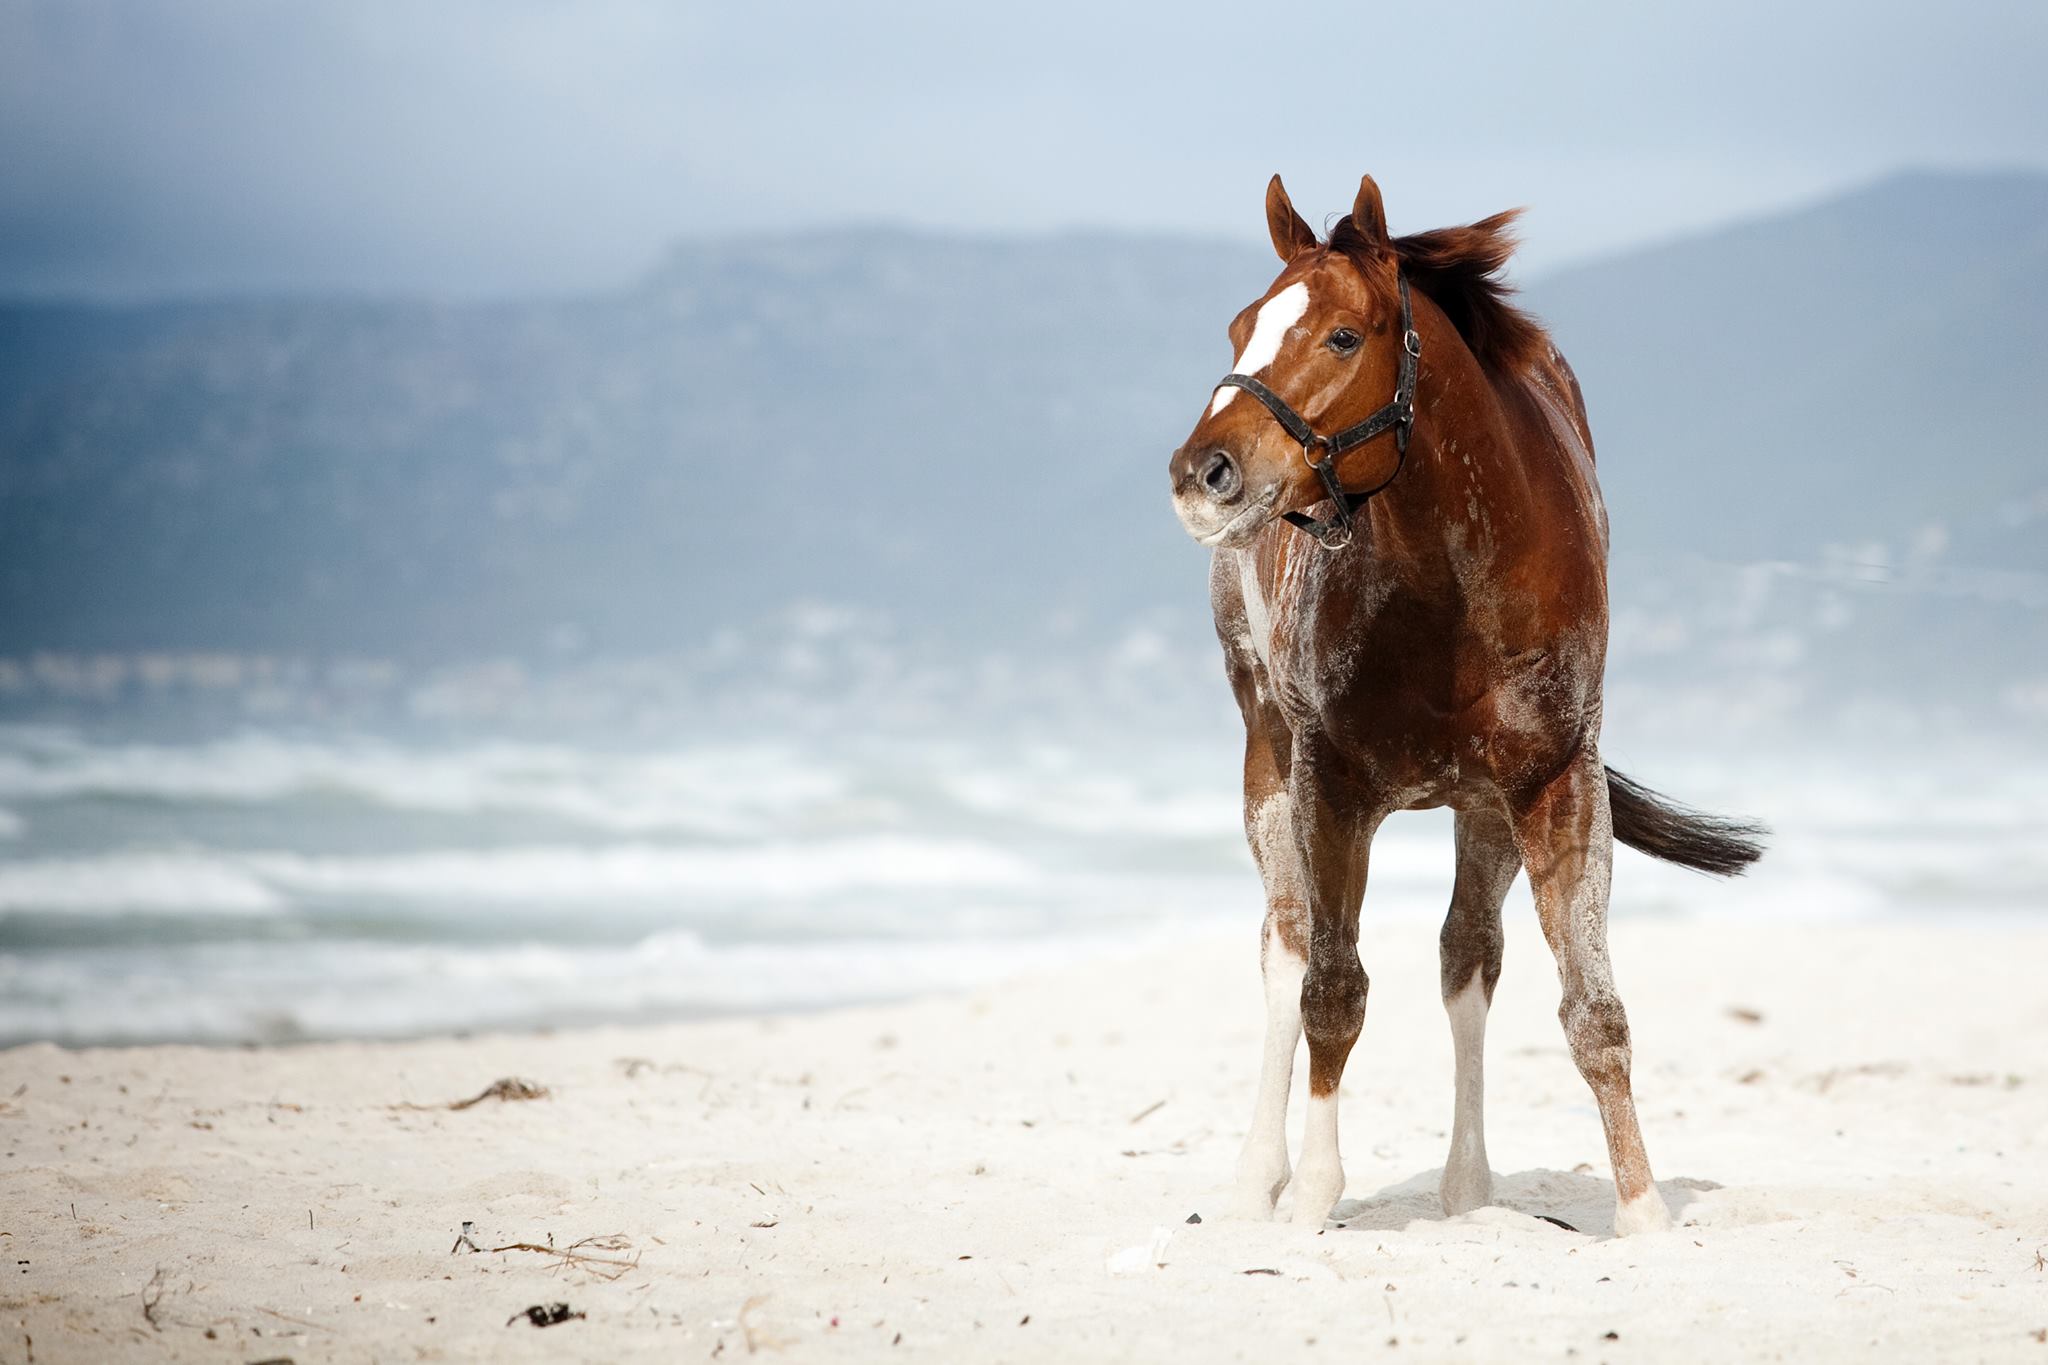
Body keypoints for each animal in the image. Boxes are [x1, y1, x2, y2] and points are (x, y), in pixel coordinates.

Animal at [1171, 173, 1761, 1236]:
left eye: (1342, 336)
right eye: (1241, 326)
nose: (1203, 475)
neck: (1453, 582)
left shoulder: (1554, 784)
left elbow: (1591, 1008)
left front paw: (1644, 1211)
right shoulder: (1330, 786)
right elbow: (1330, 987)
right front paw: (1310, 1197)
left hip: (1480, 810)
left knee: (1467, 956)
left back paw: (1469, 1189)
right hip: (1265, 754)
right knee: (1284, 946)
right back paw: (1255, 1180)